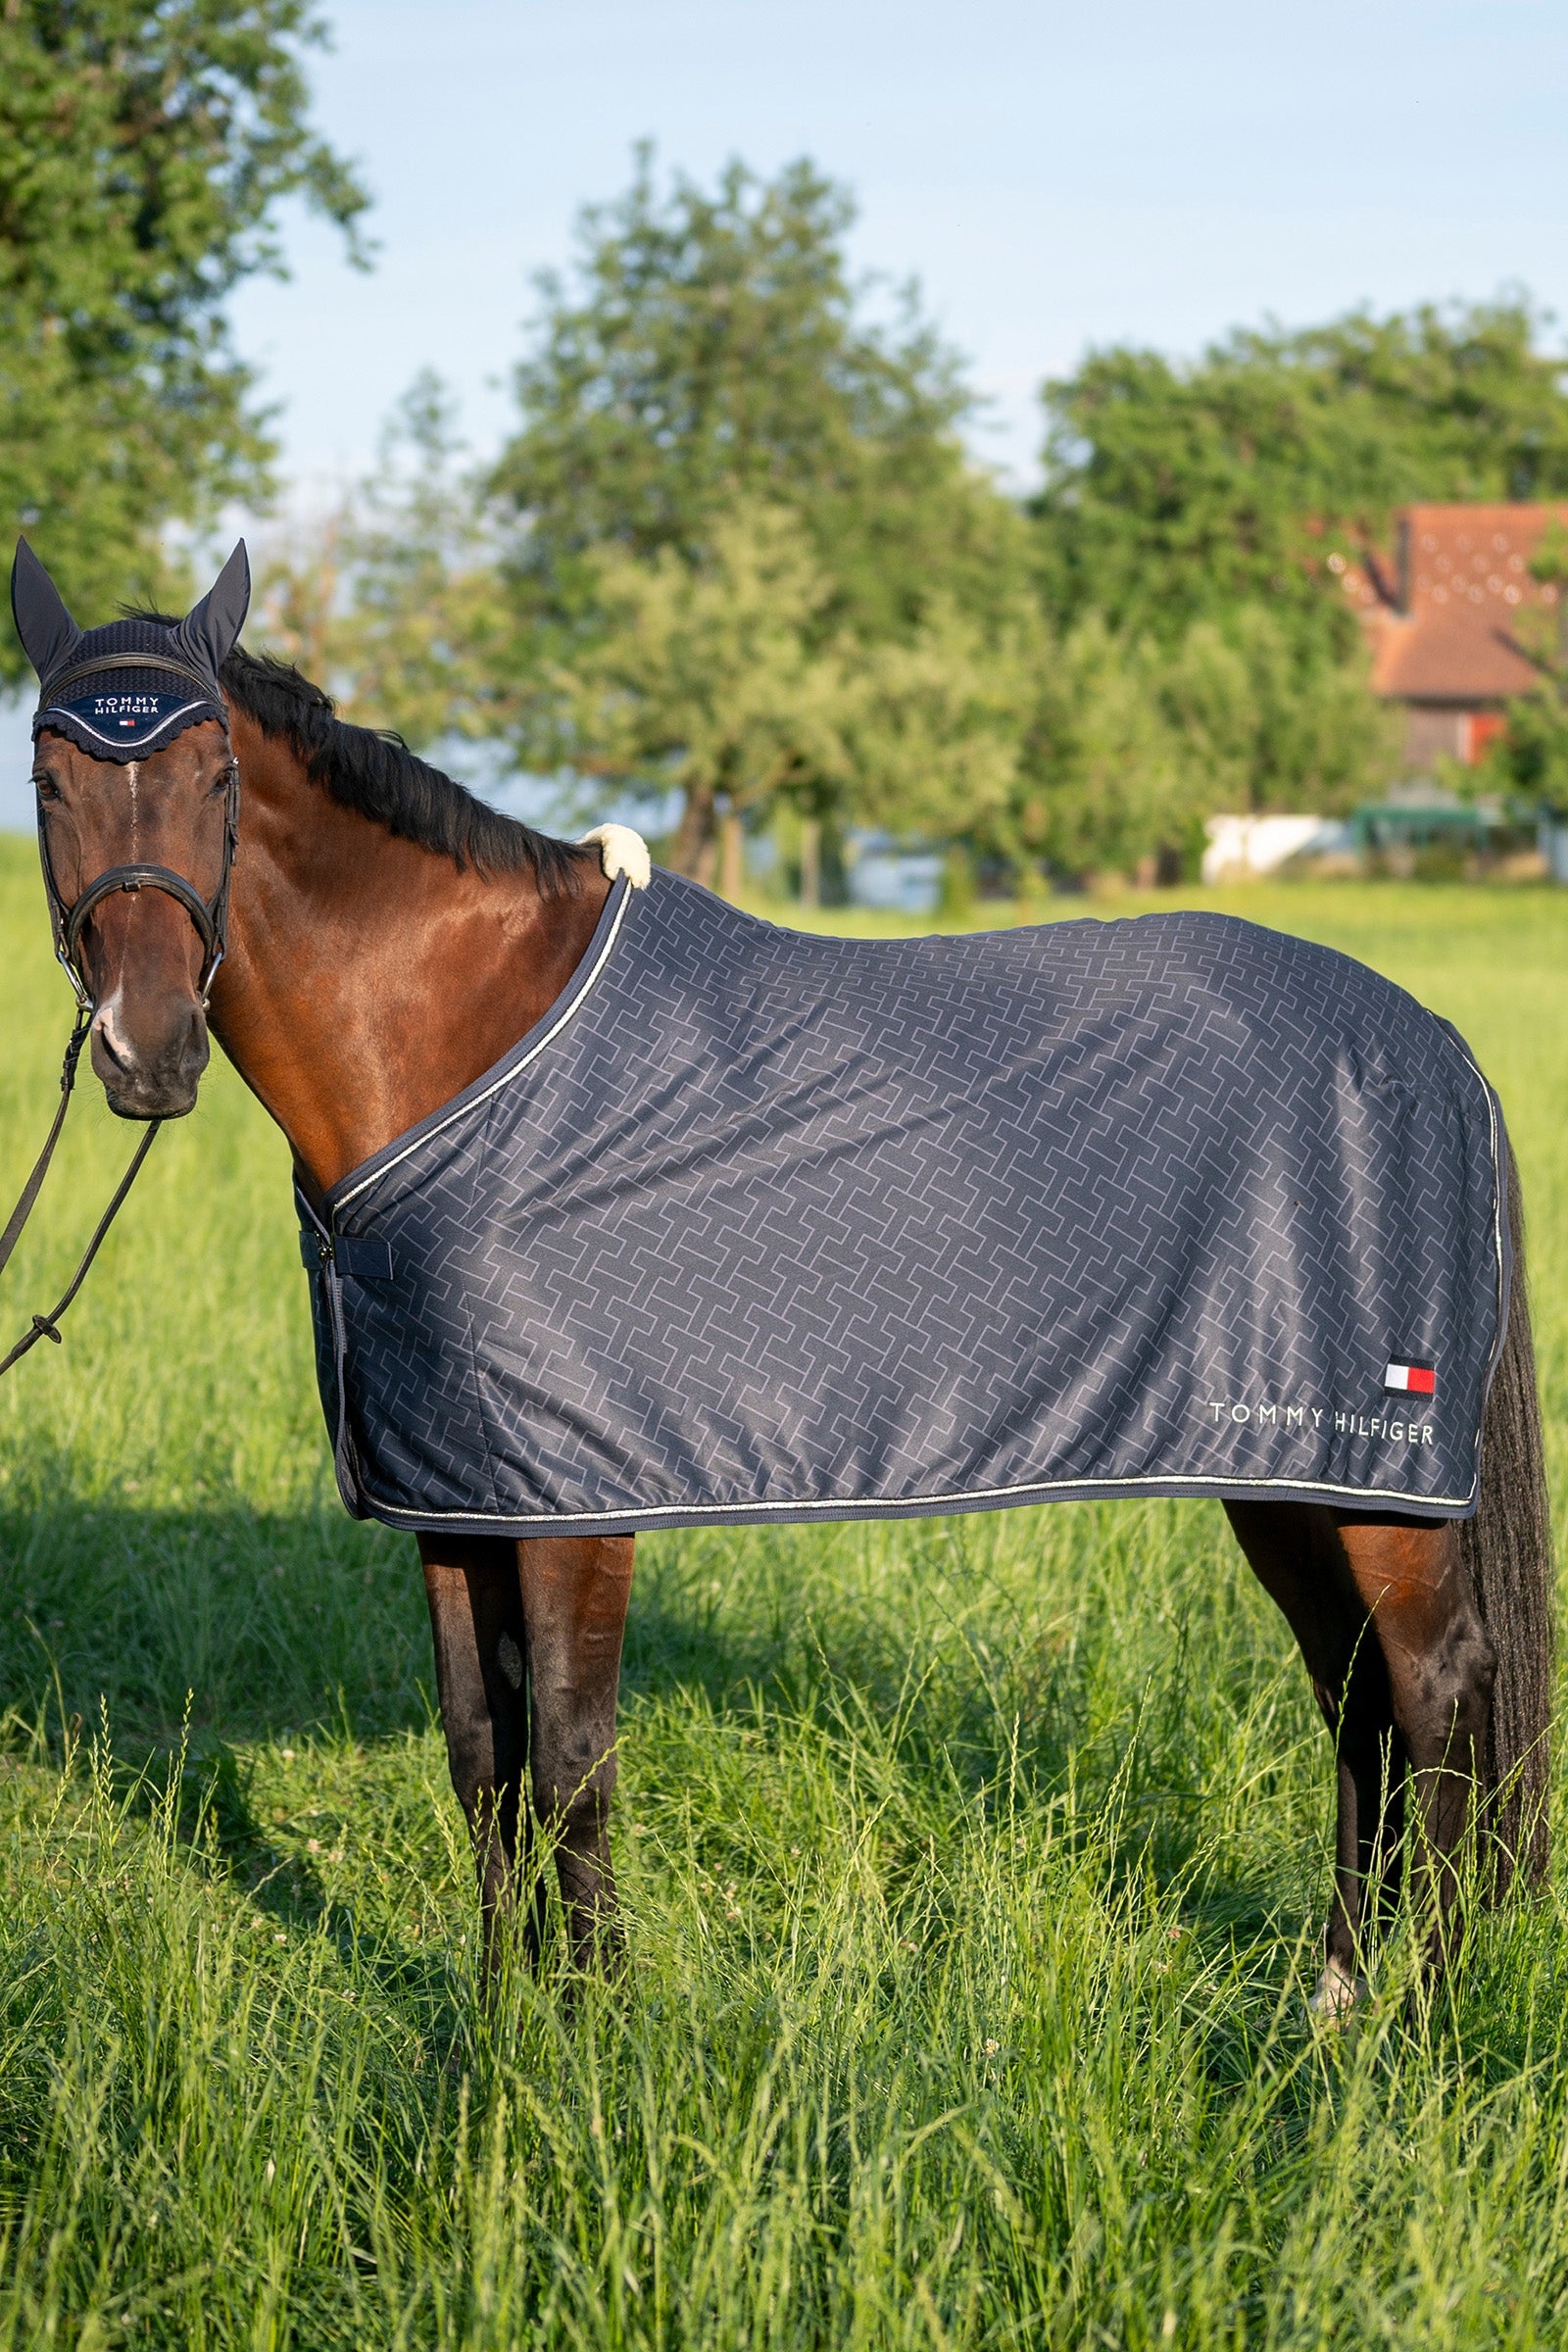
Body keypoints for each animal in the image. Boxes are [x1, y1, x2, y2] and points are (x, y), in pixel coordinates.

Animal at [7, 544, 1554, 2015]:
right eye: (47, 776)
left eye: (214, 775)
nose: (146, 1051)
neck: (468, 1041)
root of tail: (1441, 1048)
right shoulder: (456, 1492)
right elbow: (481, 1758)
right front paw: (502, 2026)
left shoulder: (577, 1504)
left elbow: (570, 1759)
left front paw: (594, 2036)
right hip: (1283, 1473)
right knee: (1354, 1698)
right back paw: (1339, 1992)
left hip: (1375, 1483)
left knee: (1434, 1685)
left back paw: (1420, 2009)